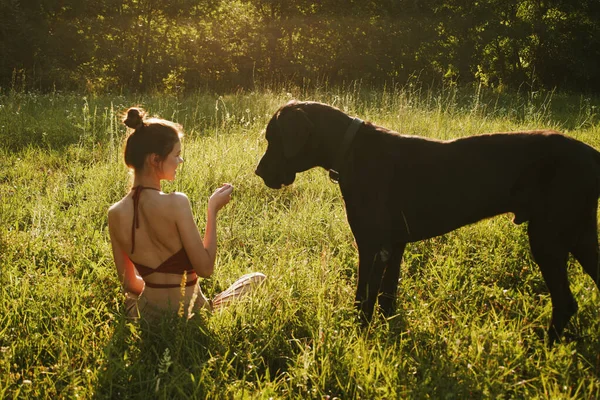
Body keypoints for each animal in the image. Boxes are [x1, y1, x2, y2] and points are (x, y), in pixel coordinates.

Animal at [255, 100, 600, 344]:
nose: (258, 171)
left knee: (565, 302)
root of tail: (593, 157)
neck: (350, 149)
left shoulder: (371, 246)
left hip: (548, 238)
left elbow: (363, 300)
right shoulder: (393, 246)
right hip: (580, 236)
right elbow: (387, 297)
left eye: (274, 139)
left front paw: (357, 338)